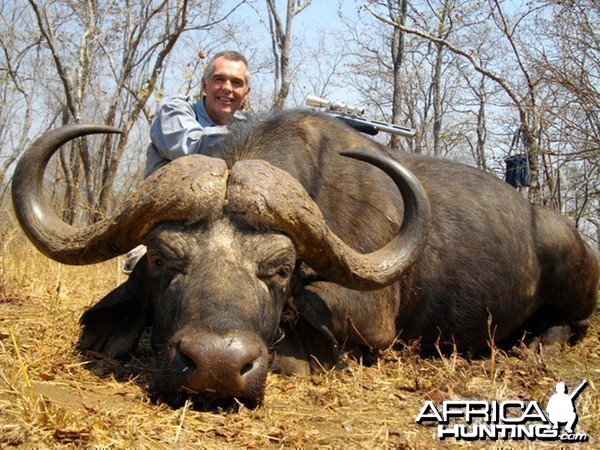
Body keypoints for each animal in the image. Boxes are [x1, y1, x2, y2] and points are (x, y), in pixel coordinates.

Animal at [11, 110, 596, 408]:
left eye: (280, 269)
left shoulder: (374, 323)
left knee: (573, 324)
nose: (217, 366)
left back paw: (538, 343)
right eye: (161, 260)